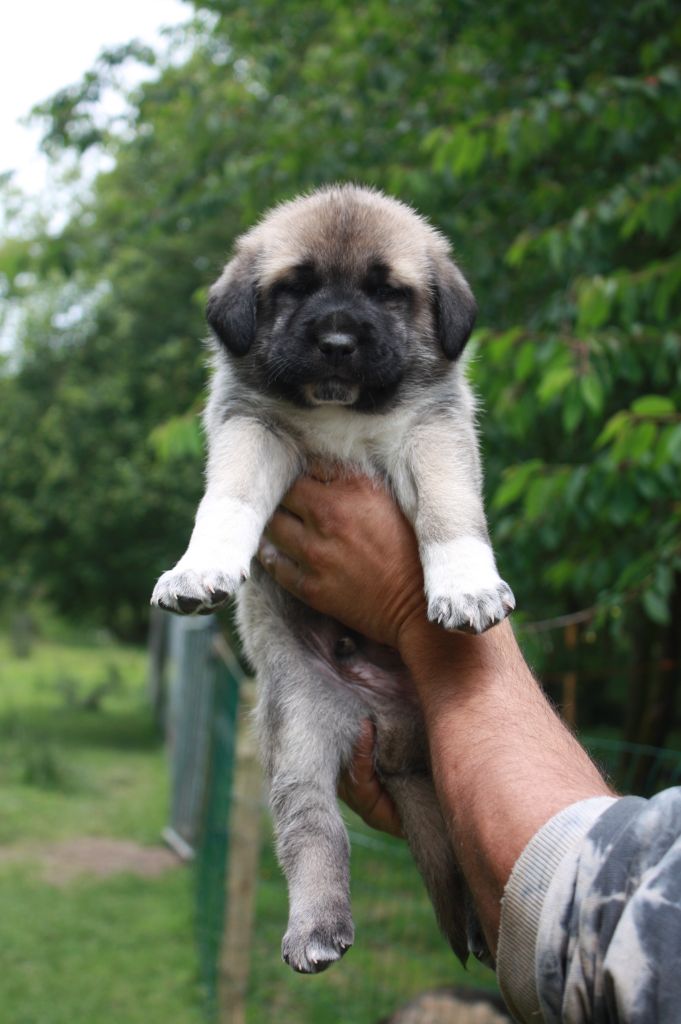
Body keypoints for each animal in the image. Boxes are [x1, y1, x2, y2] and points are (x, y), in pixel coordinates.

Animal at [151, 186, 512, 974]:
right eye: (294, 288)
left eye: (387, 292)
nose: (339, 343)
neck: (343, 410)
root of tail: (390, 721)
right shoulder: (251, 430)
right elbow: (224, 503)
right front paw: (198, 567)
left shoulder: (434, 432)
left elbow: (449, 508)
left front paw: (466, 583)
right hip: (300, 732)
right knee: (316, 831)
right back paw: (314, 926)